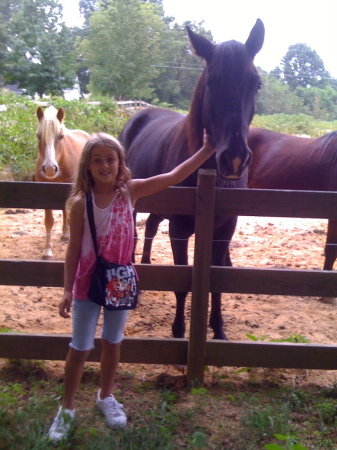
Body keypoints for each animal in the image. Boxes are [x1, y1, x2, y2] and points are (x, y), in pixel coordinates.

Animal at [35, 106, 89, 260]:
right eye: (39, 136)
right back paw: (65, 234)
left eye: (61, 136)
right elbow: (49, 221)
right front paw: (47, 251)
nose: (49, 169)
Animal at [119, 20, 264, 338]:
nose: (234, 158)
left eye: (256, 84)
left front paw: (219, 329)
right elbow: (182, 284)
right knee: (134, 235)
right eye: (212, 83)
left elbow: (217, 283)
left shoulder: (224, 232)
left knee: (150, 227)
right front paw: (178, 330)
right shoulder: (180, 230)